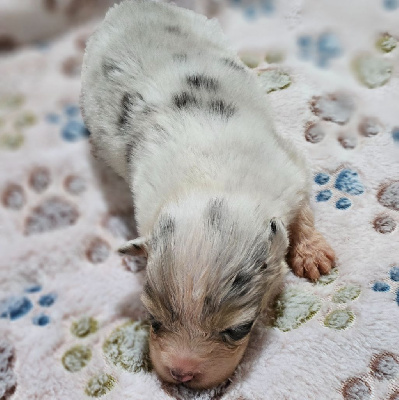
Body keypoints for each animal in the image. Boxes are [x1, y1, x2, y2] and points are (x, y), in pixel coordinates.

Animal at [79, 0, 336, 390]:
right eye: (153, 320)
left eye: (240, 329)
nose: (181, 375)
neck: (211, 184)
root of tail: (133, 6)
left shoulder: (291, 173)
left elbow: (304, 211)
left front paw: (312, 255)